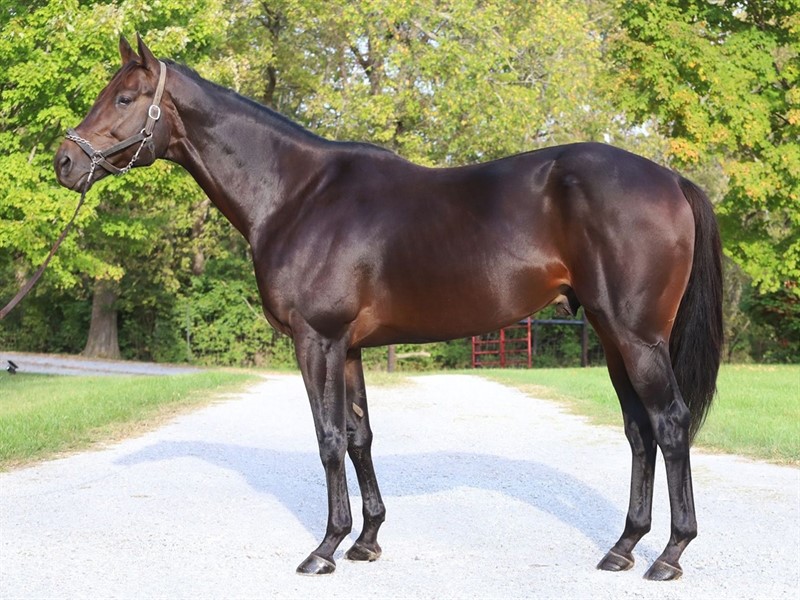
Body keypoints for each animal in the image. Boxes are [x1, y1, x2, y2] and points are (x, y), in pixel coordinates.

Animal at [54, 35, 722, 581]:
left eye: (125, 97)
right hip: (612, 338)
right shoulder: (347, 347)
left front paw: (324, 548)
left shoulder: (316, 340)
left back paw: (669, 555)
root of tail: (670, 179)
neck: (296, 195)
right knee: (639, 432)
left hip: (636, 338)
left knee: (669, 424)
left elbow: (327, 438)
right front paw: (367, 540)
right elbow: (359, 436)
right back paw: (623, 547)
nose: (65, 161)